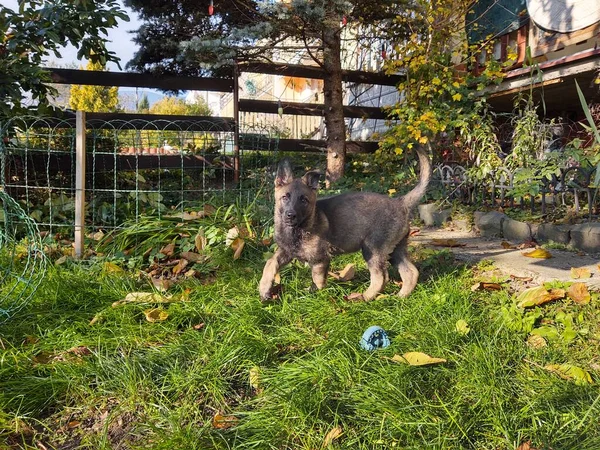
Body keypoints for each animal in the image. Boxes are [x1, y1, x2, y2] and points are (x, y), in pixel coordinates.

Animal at [258, 149, 432, 302]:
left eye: (303, 200)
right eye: (285, 197)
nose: (290, 215)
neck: (297, 229)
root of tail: (400, 203)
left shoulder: (320, 259)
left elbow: (317, 278)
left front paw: (314, 293)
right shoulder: (285, 251)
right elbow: (270, 263)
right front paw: (264, 289)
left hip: (373, 248)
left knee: (381, 277)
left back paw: (364, 297)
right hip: (395, 249)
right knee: (410, 272)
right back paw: (401, 296)